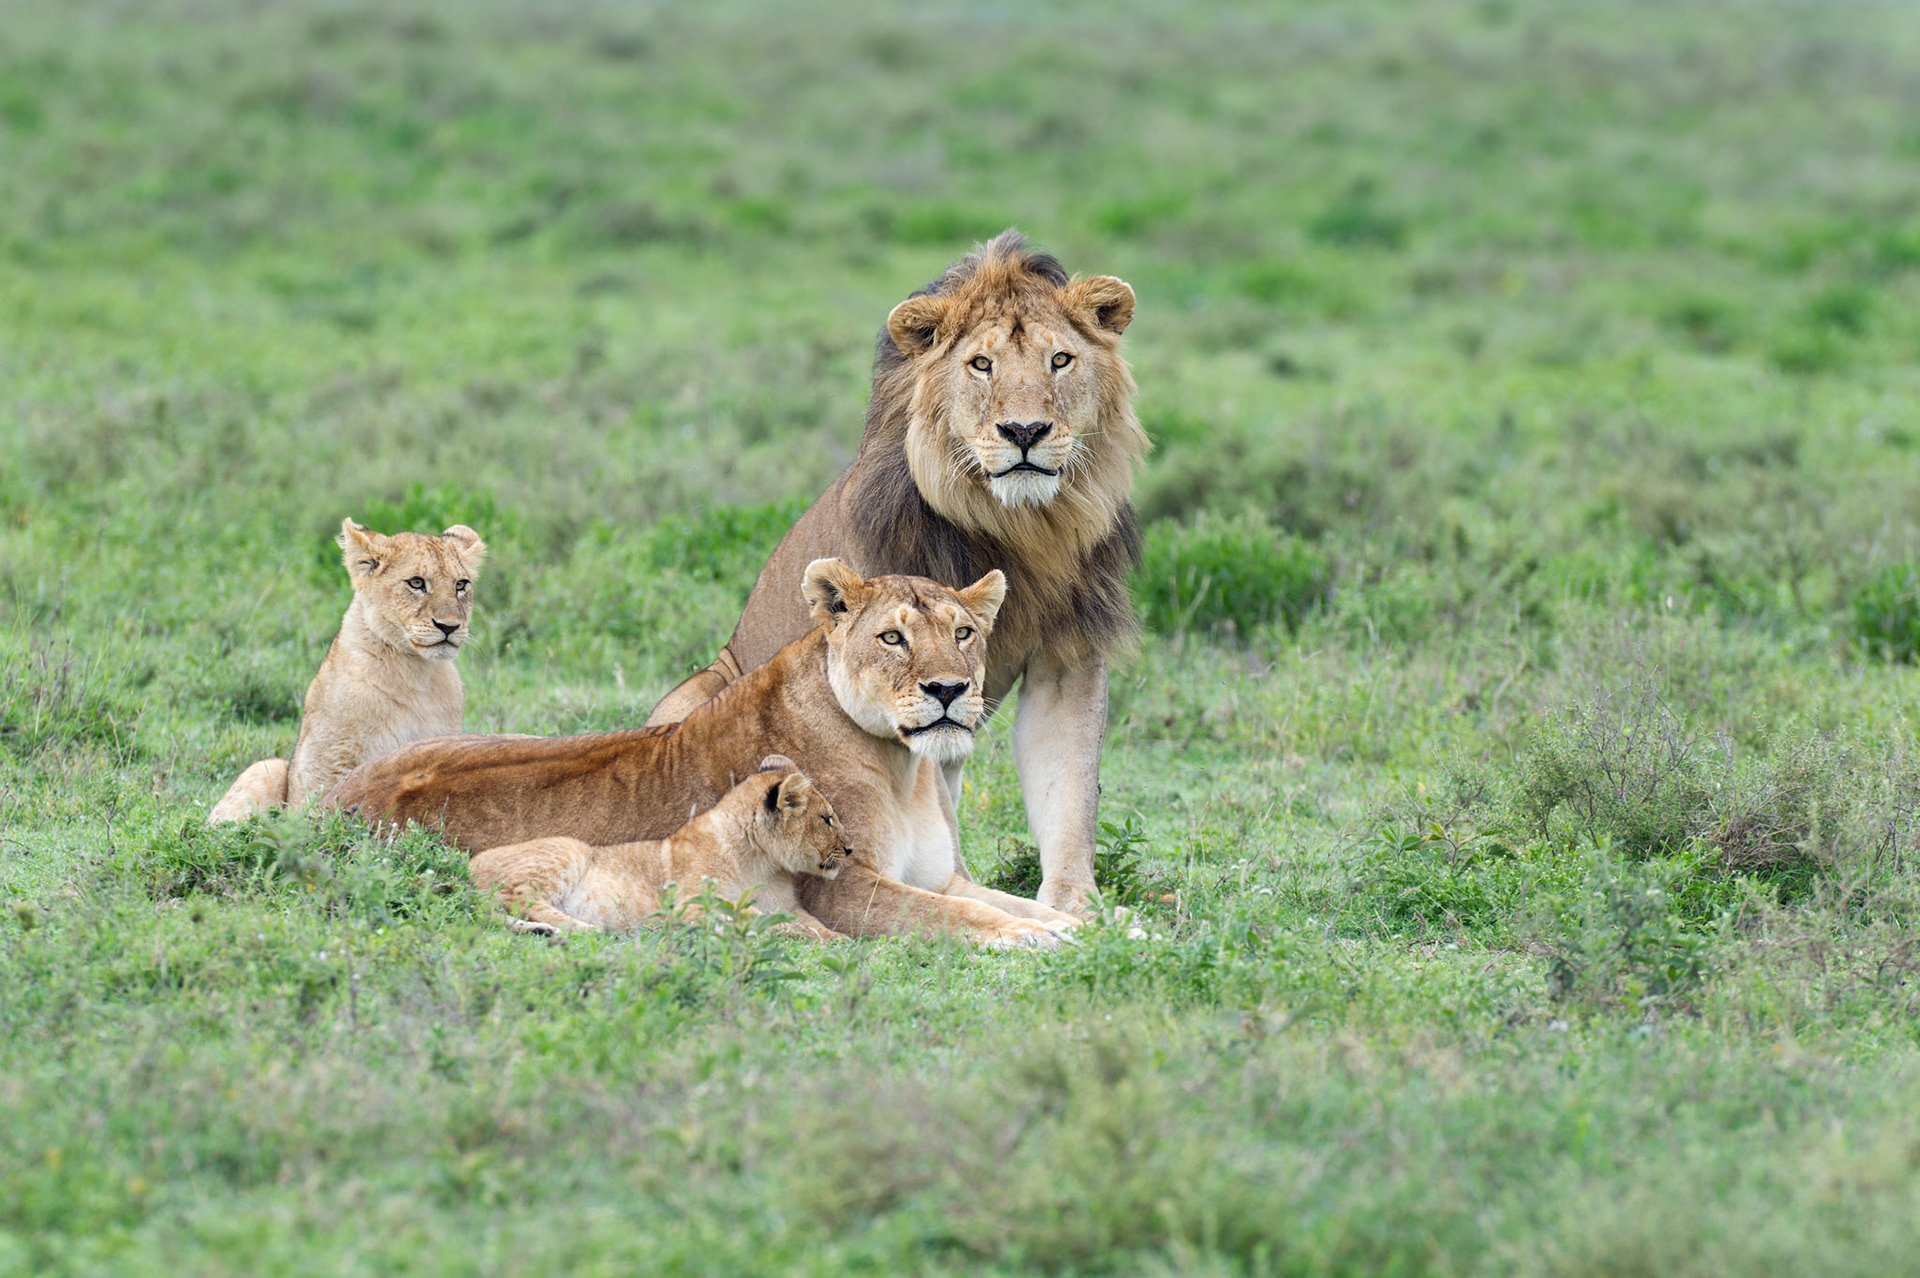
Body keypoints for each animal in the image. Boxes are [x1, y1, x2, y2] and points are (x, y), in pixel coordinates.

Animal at [207, 518, 486, 824]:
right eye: (416, 582)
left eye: (460, 585)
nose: (449, 626)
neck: (416, 673)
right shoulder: (329, 759)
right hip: (266, 768)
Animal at [468, 756, 852, 939]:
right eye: (827, 819)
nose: (850, 849)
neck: (761, 861)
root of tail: (467, 866)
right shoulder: (690, 904)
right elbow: (755, 918)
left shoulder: (786, 904)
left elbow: (811, 923)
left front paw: (839, 940)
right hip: (568, 849)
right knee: (516, 897)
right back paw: (584, 929)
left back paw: (546, 931)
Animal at [643, 230, 1146, 914]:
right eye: (981, 365)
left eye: (1061, 361)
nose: (1024, 431)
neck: (1018, 528)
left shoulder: (1067, 659)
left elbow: (1069, 794)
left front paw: (1077, 907)